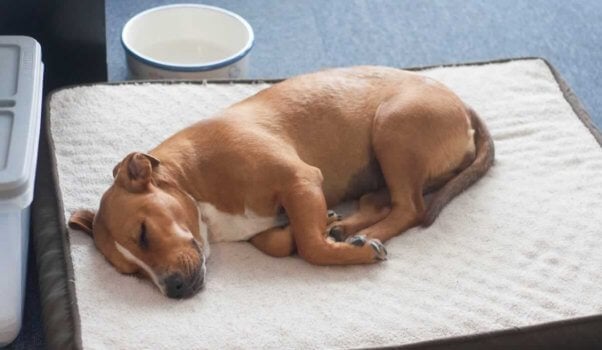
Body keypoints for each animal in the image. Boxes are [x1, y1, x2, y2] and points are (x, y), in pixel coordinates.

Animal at [69, 65, 492, 298]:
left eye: (143, 233)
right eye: (132, 273)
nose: (171, 289)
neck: (191, 182)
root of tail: (462, 106)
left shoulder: (300, 180)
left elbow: (310, 247)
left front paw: (341, 247)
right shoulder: (276, 212)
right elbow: (278, 241)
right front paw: (318, 228)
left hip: (393, 130)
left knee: (410, 208)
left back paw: (361, 235)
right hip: (381, 171)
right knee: (381, 203)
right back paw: (344, 226)